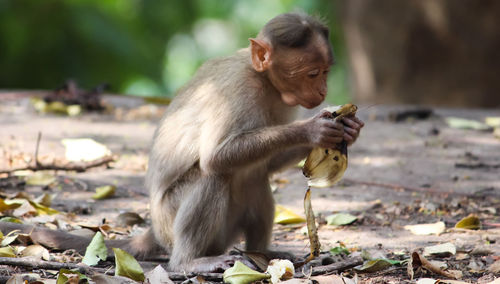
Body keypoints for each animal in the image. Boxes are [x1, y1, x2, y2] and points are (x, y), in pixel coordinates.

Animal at [0, 12, 364, 272]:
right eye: (312, 73)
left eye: (325, 71)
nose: (323, 91)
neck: (263, 80)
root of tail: (155, 231)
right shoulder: (238, 91)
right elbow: (216, 157)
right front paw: (313, 130)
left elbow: (267, 164)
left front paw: (347, 129)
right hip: (169, 224)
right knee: (215, 176)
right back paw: (189, 262)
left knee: (254, 178)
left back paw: (261, 252)